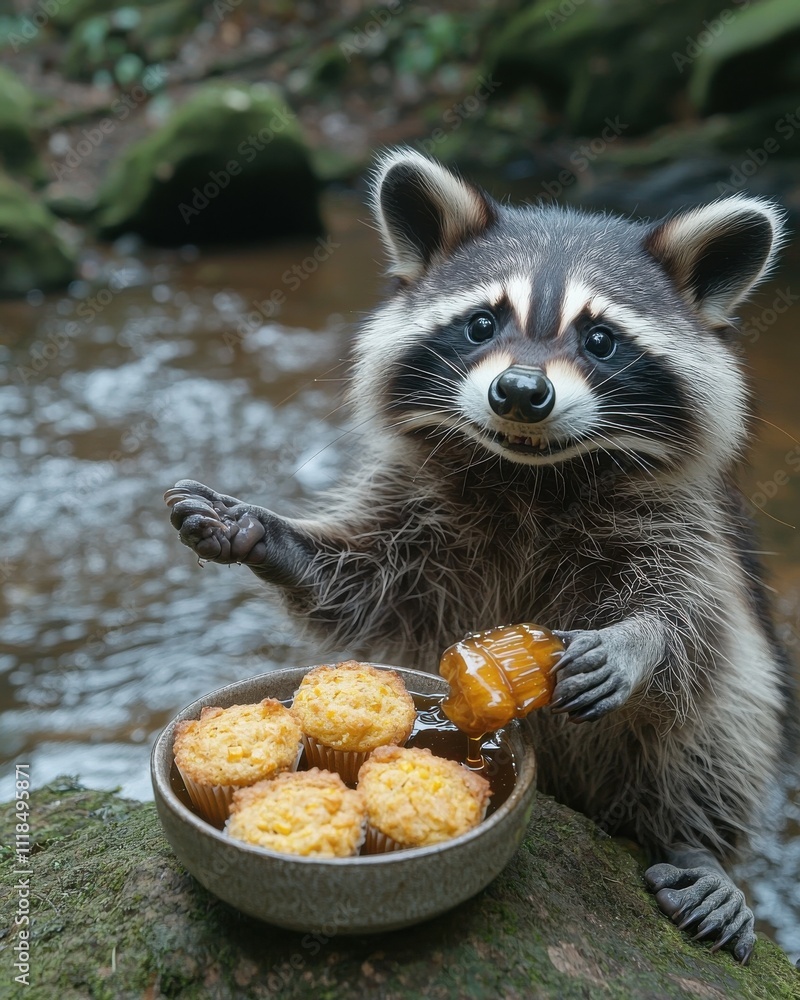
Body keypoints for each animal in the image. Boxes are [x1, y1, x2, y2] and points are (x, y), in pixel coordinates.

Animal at [165, 149, 792, 963]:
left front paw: (637, 641)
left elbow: (690, 617)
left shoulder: (682, 519)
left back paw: (695, 843)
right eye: (482, 323)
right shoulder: (416, 502)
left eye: (600, 340)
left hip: (722, 716)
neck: (529, 472)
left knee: (718, 728)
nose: (519, 392)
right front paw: (267, 533)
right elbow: (364, 583)